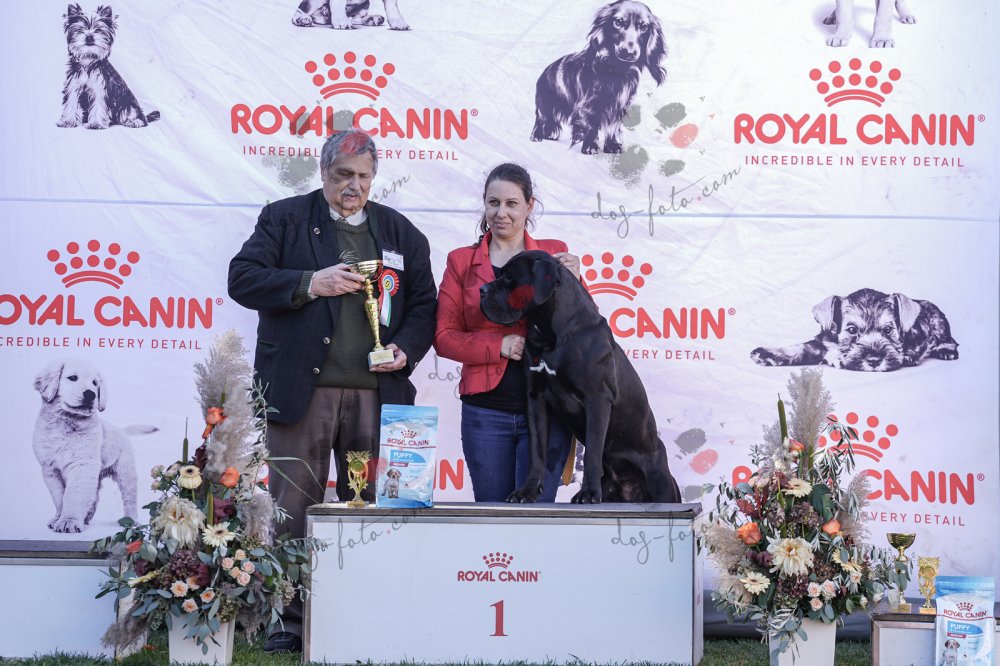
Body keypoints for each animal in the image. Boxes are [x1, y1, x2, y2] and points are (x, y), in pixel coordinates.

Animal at [32, 359, 147, 533]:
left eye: (95, 383)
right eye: (73, 378)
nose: (91, 394)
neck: (67, 421)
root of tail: (122, 430)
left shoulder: (82, 465)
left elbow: (73, 495)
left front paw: (69, 521)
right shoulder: (50, 469)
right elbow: (60, 497)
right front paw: (59, 518)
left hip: (125, 471)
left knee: (129, 496)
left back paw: (131, 520)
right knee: (94, 496)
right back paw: (86, 517)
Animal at [480, 251, 681, 504]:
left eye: (508, 276)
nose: (481, 290)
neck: (550, 333)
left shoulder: (597, 399)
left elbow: (592, 452)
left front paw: (588, 493)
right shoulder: (535, 399)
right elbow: (536, 451)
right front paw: (527, 491)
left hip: (662, 485)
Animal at [530, 1, 666, 155]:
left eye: (643, 27)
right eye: (618, 22)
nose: (629, 53)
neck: (615, 72)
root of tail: (545, 71)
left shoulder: (618, 106)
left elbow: (613, 127)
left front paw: (612, 146)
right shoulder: (590, 106)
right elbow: (591, 126)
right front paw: (590, 146)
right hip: (545, 105)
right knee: (541, 119)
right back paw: (536, 136)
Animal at [751, 288, 959, 372]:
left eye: (888, 329)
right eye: (851, 330)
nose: (874, 360)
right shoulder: (820, 344)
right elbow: (797, 348)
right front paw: (765, 354)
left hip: (939, 323)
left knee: (950, 341)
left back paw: (946, 351)